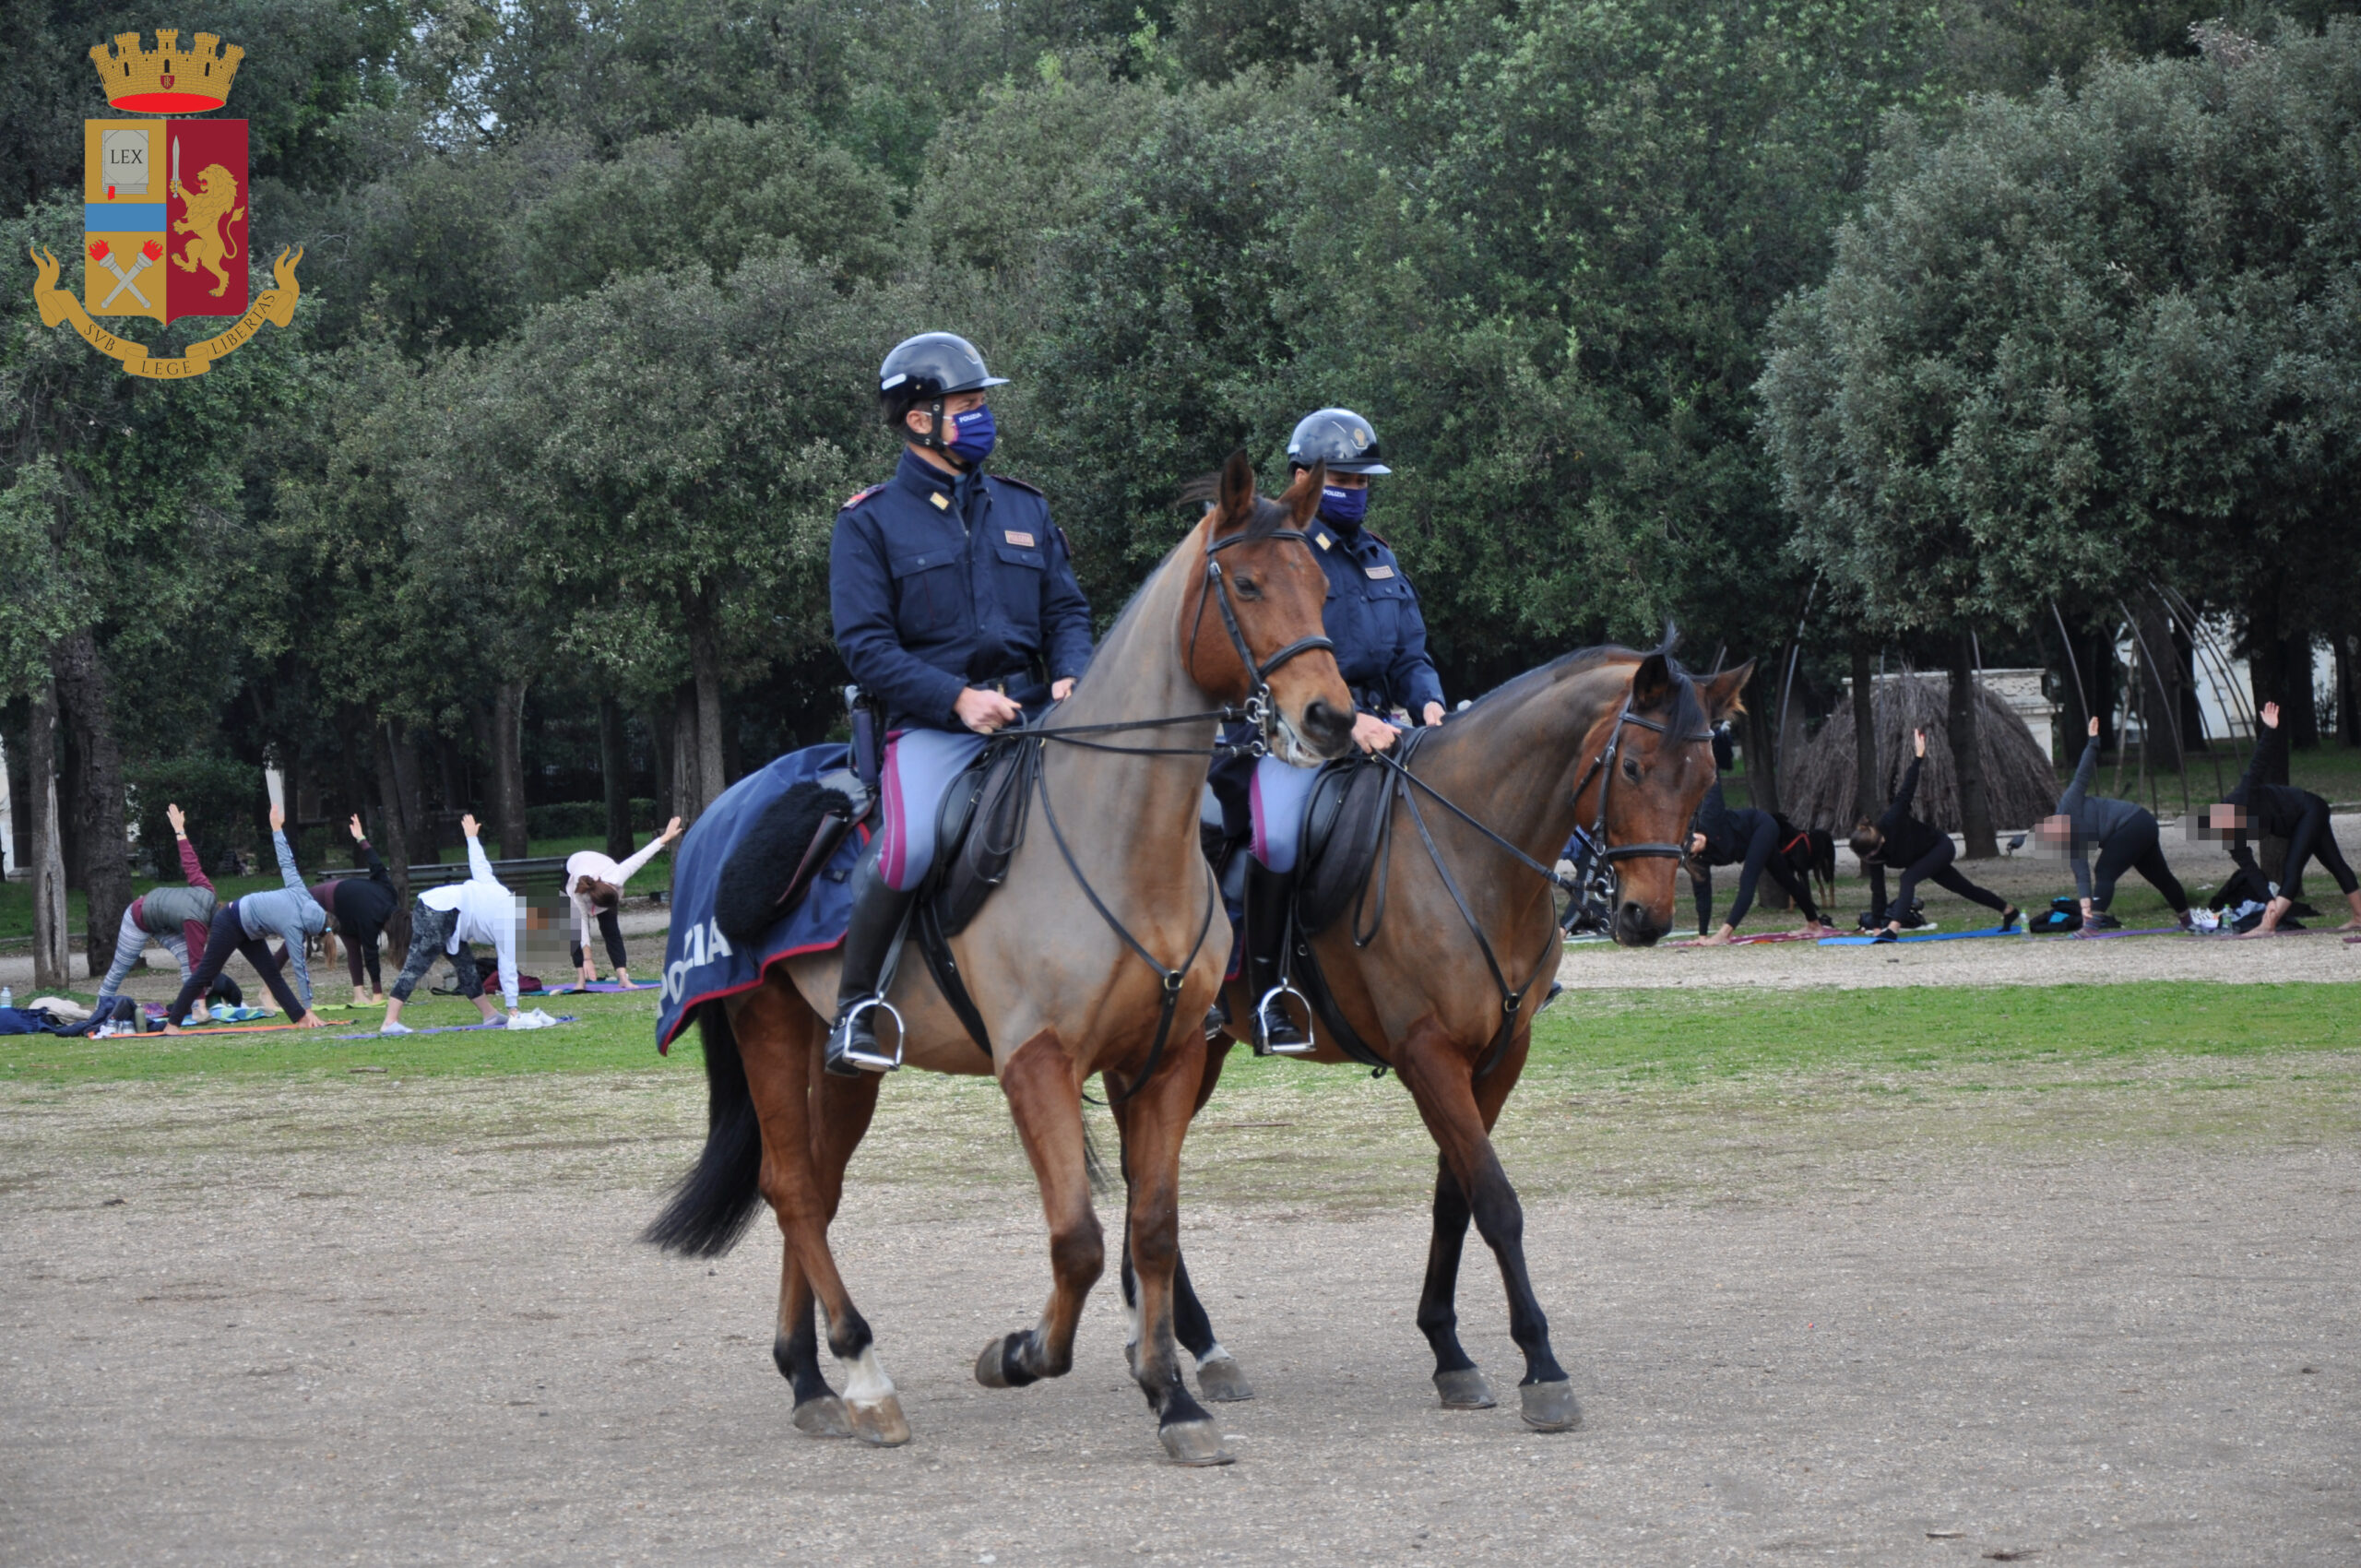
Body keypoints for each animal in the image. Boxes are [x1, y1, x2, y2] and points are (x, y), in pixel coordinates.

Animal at [647, 453, 1359, 1473]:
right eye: (1251, 584)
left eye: (1322, 585)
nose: (1332, 716)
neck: (1121, 840)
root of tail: (720, 813)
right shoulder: (1037, 1063)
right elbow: (1079, 1239)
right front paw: (1020, 1353)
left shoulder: (1169, 1061)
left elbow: (1150, 1230)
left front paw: (1172, 1398)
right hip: (768, 1026)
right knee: (791, 1189)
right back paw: (863, 1375)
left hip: (846, 1060)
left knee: (814, 1188)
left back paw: (810, 1378)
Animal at [1123, 642, 1756, 1426]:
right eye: (1634, 767)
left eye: (1703, 777)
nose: (1646, 917)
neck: (1469, 855)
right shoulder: (1427, 1055)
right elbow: (1498, 1203)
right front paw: (1542, 1368)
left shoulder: (1497, 1059)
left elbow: (1456, 1199)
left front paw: (1449, 1352)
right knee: (1145, 1174)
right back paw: (1194, 1344)